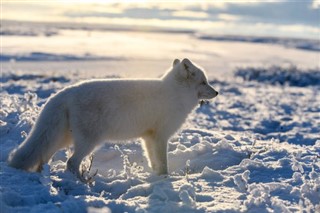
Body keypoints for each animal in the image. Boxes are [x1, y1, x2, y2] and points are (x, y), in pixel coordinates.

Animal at [7, 58, 219, 180]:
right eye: (204, 82)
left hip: (62, 139)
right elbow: (163, 162)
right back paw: (82, 183)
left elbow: (153, 161)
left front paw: (156, 177)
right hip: (88, 142)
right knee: (70, 162)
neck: (174, 94)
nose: (217, 92)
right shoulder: (160, 137)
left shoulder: (148, 137)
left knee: (44, 158)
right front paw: (166, 179)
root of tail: (63, 94)